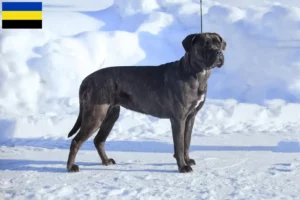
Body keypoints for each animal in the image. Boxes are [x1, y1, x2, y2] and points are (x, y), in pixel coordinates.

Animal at [67, 32, 226, 173]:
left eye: (218, 43)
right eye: (205, 44)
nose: (218, 52)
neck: (196, 73)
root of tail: (86, 79)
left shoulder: (190, 117)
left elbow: (187, 141)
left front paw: (187, 160)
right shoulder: (178, 119)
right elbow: (180, 145)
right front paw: (183, 167)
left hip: (110, 115)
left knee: (99, 140)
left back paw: (106, 161)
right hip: (95, 115)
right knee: (76, 141)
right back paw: (71, 167)